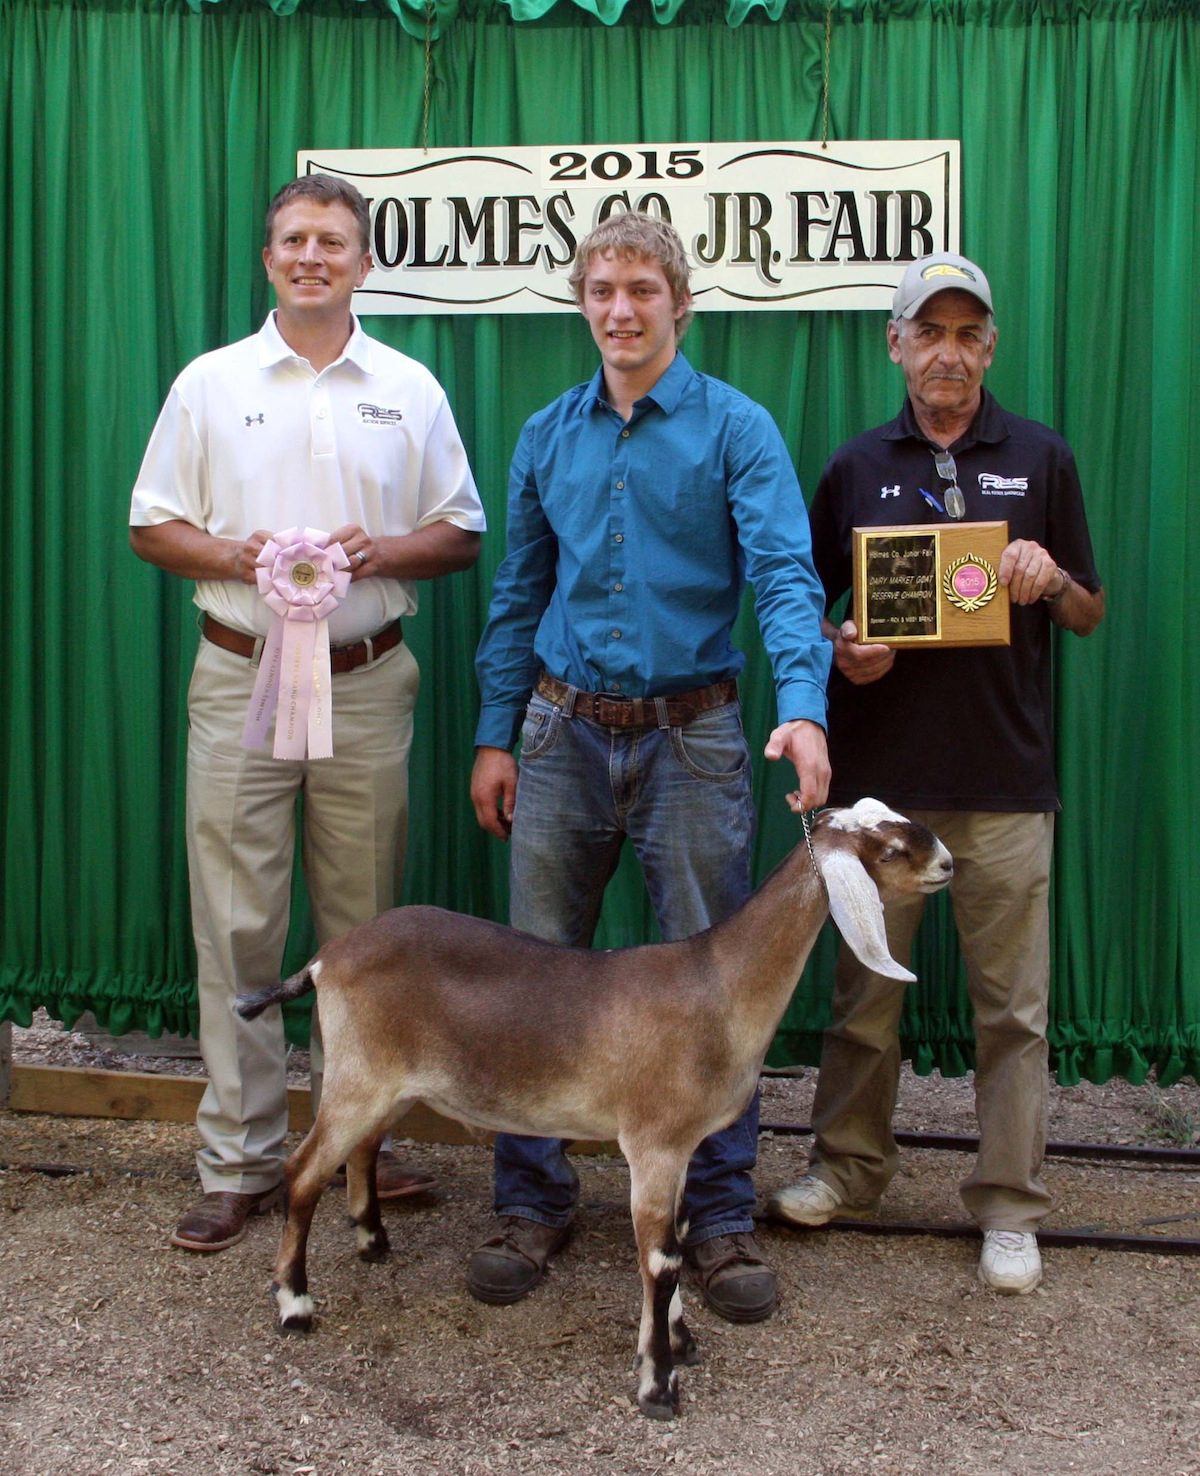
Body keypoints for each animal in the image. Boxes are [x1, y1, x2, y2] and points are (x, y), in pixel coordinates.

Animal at [236, 798, 952, 1419]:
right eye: (889, 849)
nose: (946, 861)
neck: (718, 986)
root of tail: (324, 960)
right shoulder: (654, 1143)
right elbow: (660, 1261)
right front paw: (658, 1386)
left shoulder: (680, 1149)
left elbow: (678, 1241)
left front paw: (680, 1344)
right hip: (359, 1078)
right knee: (303, 1173)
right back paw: (295, 1305)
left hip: (387, 1085)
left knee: (360, 1150)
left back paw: (372, 1242)